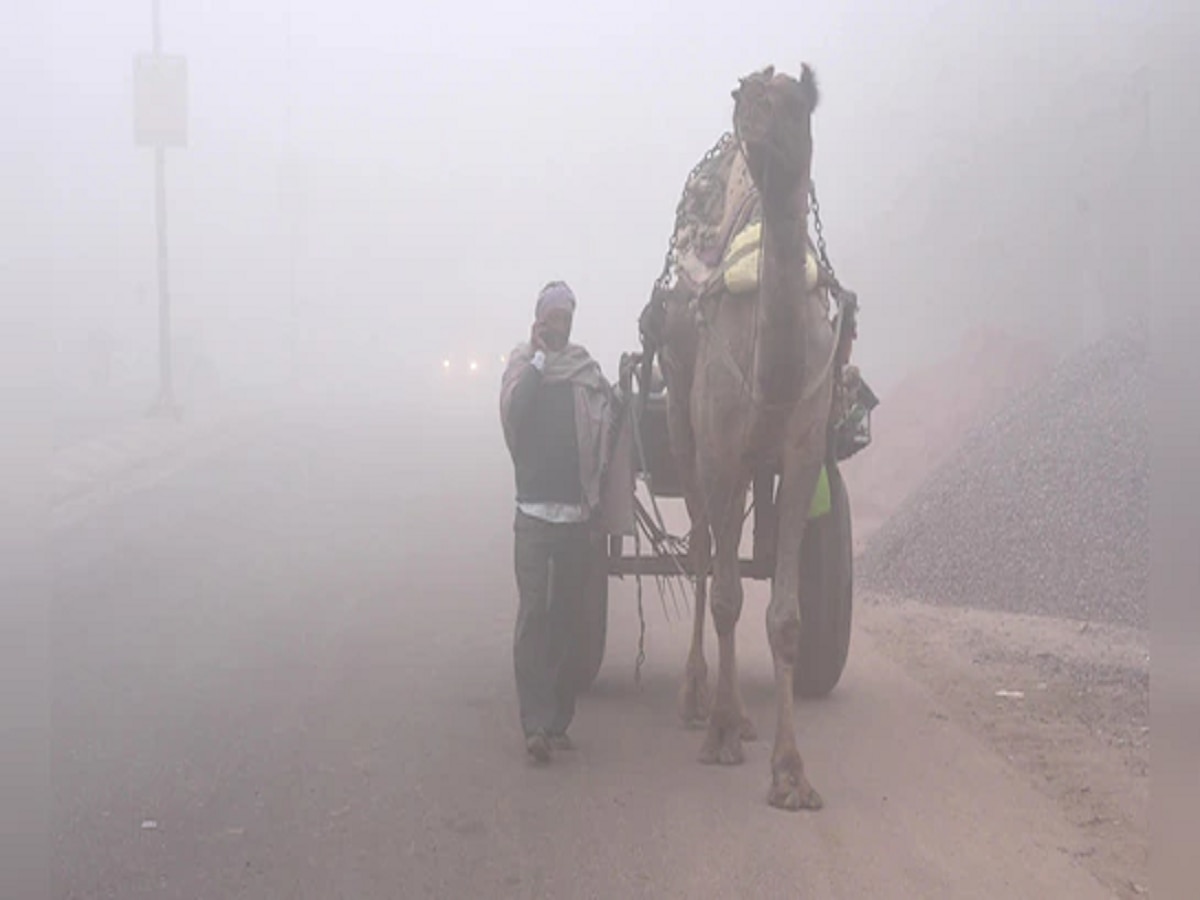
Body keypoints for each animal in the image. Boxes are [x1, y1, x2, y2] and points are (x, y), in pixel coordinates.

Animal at [648, 63, 835, 811]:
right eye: (743, 100)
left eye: (794, 104)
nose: (749, 128)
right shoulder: (720, 445)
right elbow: (727, 593)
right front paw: (722, 732)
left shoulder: (802, 448)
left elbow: (784, 616)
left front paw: (790, 771)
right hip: (685, 426)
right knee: (705, 552)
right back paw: (698, 697)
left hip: (752, 457)